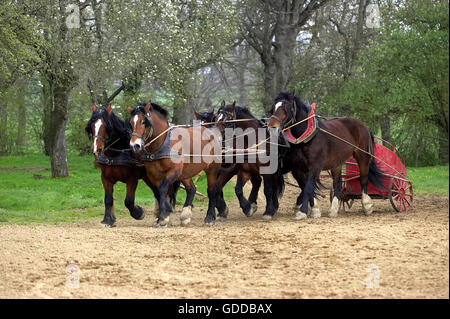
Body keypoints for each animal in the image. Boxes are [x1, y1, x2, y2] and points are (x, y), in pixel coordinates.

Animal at [268, 91, 384, 219]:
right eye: (273, 108)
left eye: (285, 108)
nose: (271, 127)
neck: (307, 138)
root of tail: (363, 125)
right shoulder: (298, 168)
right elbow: (306, 187)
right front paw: (314, 210)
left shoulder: (315, 166)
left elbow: (308, 187)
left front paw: (302, 211)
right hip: (336, 162)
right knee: (337, 183)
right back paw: (333, 209)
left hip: (362, 156)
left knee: (363, 178)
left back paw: (367, 205)